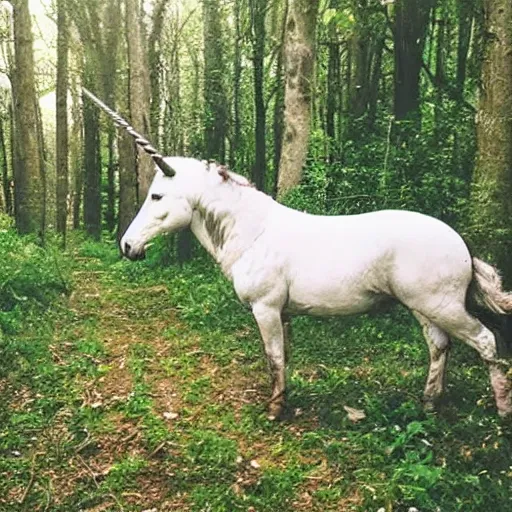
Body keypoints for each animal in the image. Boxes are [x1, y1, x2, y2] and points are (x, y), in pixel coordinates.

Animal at [122, 158, 512, 418]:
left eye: (157, 196)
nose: (127, 246)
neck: (254, 233)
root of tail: (462, 245)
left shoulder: (265, 308)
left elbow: (274, 357)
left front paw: (274, 410)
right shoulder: (283, 313)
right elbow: (283, 357)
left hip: (444, 307)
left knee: (485, 342)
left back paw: (501, 409)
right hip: (425, 308)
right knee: (439, 347)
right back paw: (428, 404)